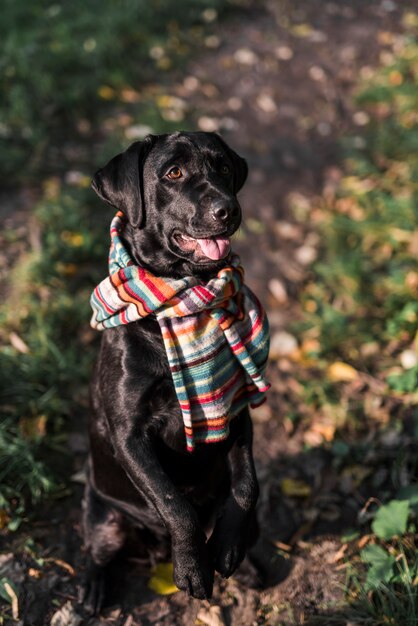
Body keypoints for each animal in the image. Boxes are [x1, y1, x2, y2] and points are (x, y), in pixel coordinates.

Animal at [81, 132, 262, 608]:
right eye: (174, 173)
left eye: (223, 168)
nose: (227, 209)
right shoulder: (129, 434)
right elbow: (174, 504)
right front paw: (193, 567)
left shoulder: (235, 410)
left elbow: (246, 487)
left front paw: (227, 548)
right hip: (105, 518)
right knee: (96, 550)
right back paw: (91, 588)